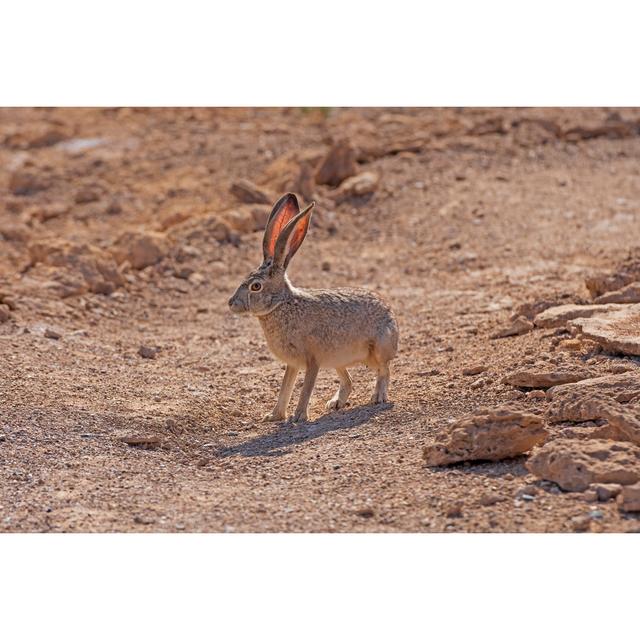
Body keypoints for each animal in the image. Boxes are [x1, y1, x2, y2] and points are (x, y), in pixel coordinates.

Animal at [230, 190, 398, 422]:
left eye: (256, 286)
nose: (231, 304)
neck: (282, 304)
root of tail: (391, 314)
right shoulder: (293, 363)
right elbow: (285, 387)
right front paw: (274, 416)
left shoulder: (312, 360)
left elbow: (306, 388)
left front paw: (299, 417)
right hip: (337, 360)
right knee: (349, 381)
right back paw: (335, 403)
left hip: (378, 349)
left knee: (384, 370)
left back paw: (378, 397)